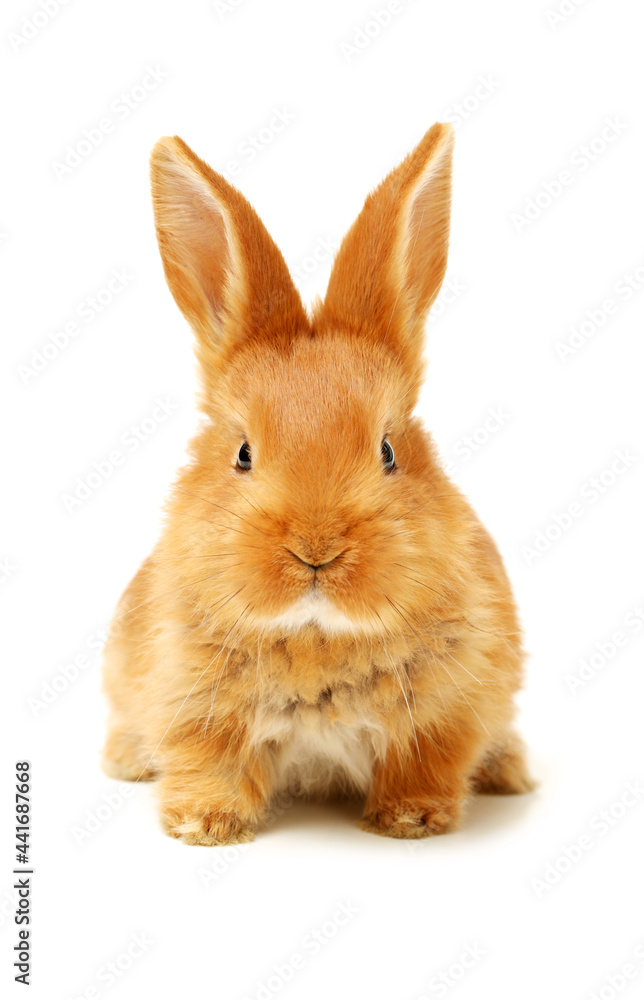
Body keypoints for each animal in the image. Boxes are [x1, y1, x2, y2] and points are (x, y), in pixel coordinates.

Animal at [101, 122, 534, 844]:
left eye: (388, 451)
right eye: (243, 453)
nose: (316, 550)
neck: (316, 634)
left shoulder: (448, 712)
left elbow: (425, 763)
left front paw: (411, 820)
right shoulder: (191, 705)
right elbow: (207, 763)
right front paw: (204, 826)